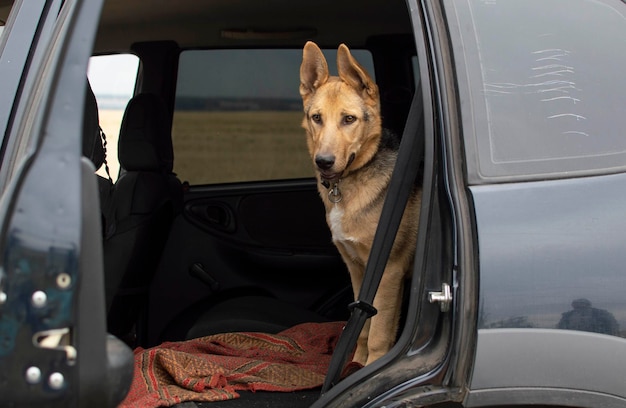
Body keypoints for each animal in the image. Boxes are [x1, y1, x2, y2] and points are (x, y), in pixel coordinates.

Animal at [298, 42, 420, 366]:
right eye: (317, 118)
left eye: (349, 119)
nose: (323, 162)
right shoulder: (357, 268)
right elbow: (362, 328)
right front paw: (357, 363)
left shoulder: (388, 271)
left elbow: (379, 334)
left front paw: (373, 367)